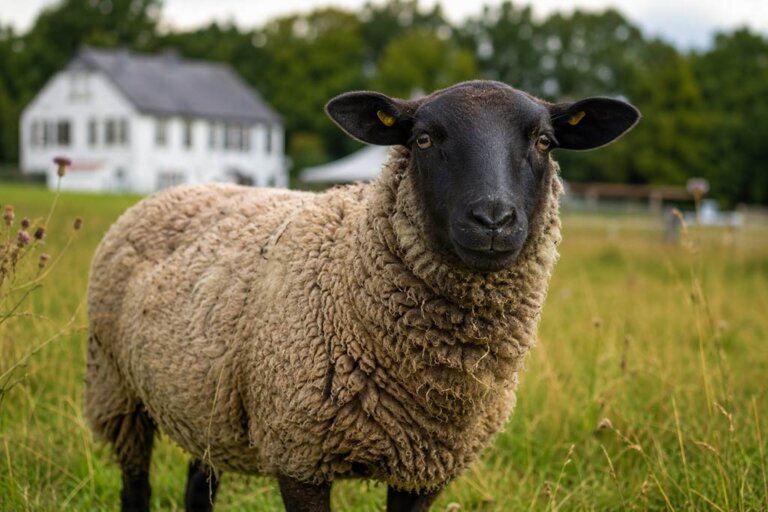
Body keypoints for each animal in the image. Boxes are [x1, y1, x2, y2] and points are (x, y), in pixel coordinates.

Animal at [85, 80, 639, 511]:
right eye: (422, 139)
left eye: (545, 141)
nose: (493, 220)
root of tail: (177, 190)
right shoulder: (299, 451)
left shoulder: (425, 469)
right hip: (117, 388)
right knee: (135, 487)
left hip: (204, 401)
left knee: (199, 486)